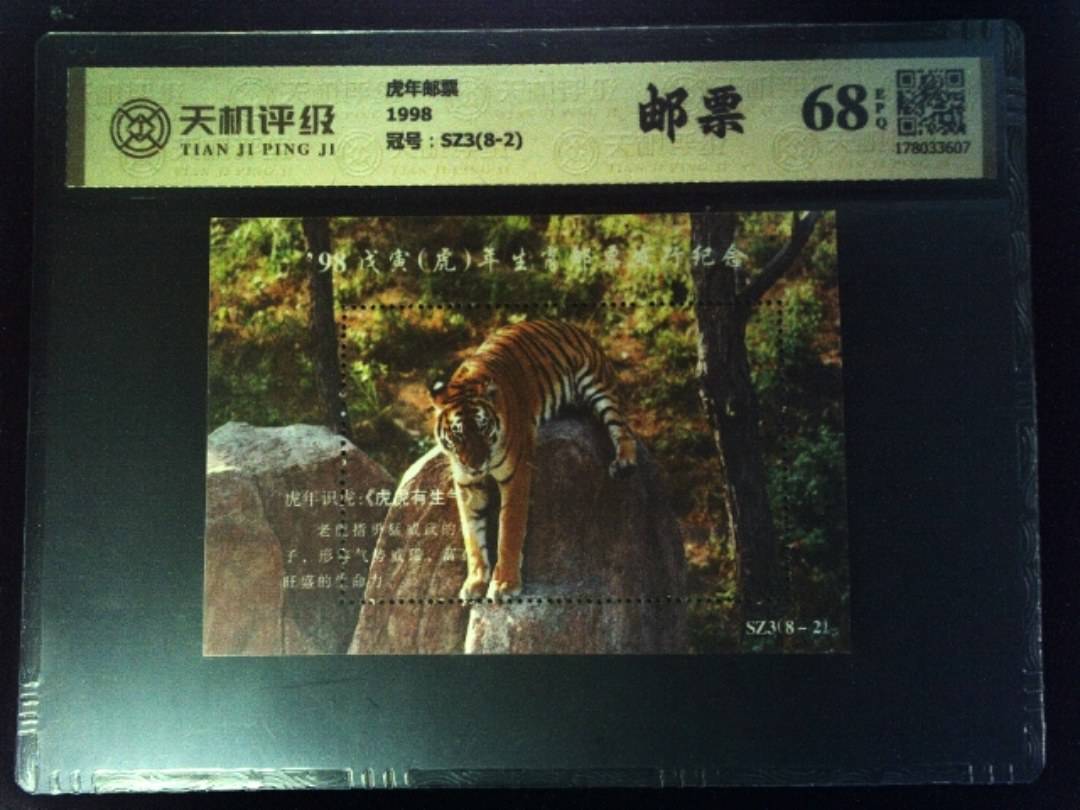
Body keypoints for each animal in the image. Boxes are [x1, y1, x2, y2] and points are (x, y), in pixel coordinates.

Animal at [429, 318, 637, 601]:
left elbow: (509, 530)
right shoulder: (466, 483)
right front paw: (475, 581)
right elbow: (472, 534)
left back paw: (624, 462)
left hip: (598, 385)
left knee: (623, 427)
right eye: (458, 434)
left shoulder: (515, 474)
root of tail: (568, 324)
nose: (476, 465)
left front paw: (505, 584)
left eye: (483, 428)